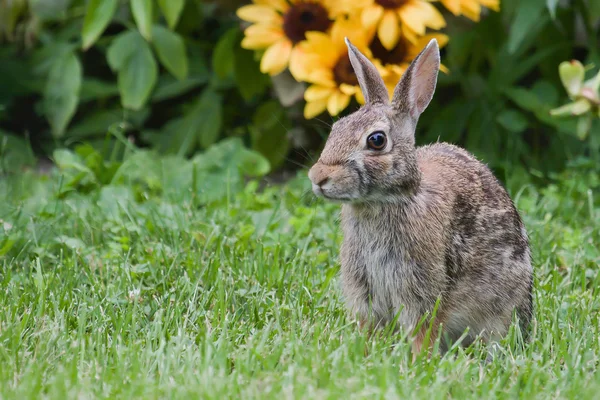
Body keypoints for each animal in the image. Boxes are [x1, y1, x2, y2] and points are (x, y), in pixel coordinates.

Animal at [308, 38, 532, 356]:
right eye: (337, 128)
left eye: (377, 140)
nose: (318, 177)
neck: (386, 201)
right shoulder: (365, 291)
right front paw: (362, 351)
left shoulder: (420, 290)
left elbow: (422, 330)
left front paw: (418, 360)